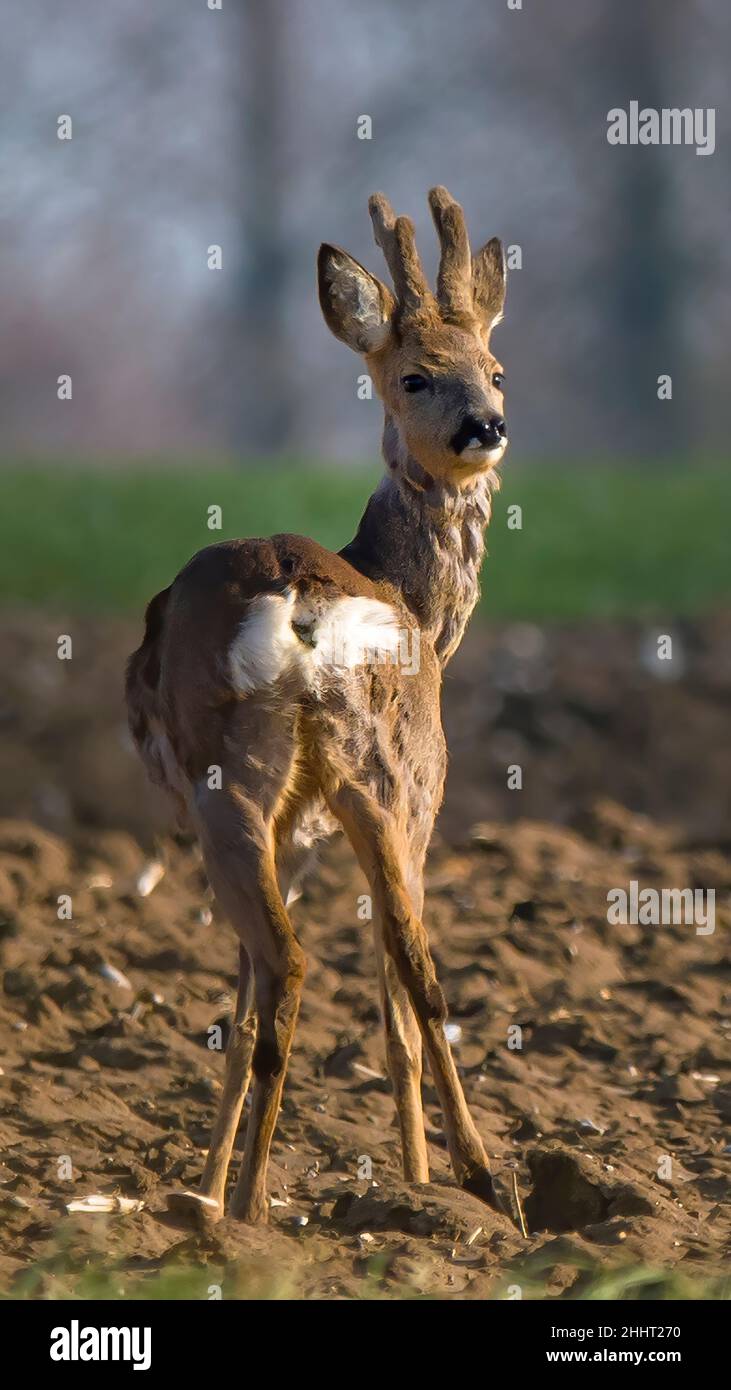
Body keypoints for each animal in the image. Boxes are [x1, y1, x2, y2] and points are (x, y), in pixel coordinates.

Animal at [127, 190, 511, 1223]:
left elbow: (239, 1003)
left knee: (290, 966)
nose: (487, 424)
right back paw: (482, 1183)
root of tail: (301, 600)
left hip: (240, 786)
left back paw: (250, 1209)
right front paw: (417, 1177)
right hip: (387, 775)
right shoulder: (364, 809)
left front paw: (205, 1185)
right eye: (417, 376)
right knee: (417, 967)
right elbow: (383, 991)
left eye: (496, 370)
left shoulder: (285, 828)